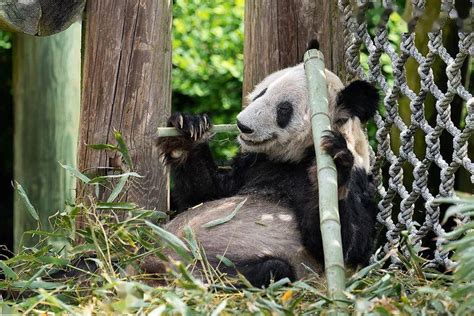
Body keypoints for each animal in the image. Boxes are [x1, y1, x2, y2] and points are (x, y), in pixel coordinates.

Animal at [154, 59, 380, 286]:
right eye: (262, 92)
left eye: (284, 109)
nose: (242, 125)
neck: (296, 158)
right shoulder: (253, 165)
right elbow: (202, 196)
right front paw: (187, 131)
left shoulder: (359, 181)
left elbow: (346, 245)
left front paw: (336, 165)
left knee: (273, 269)